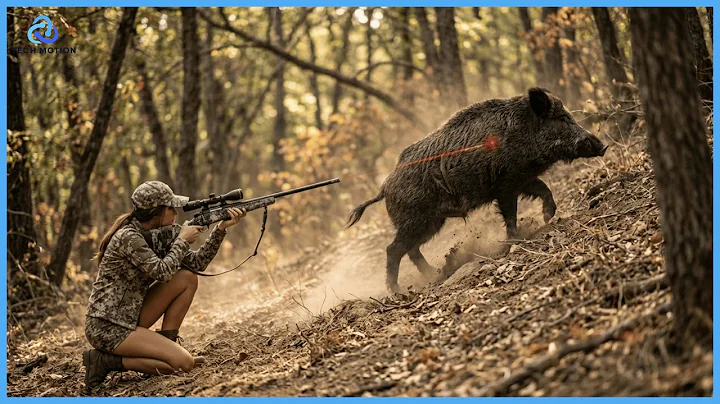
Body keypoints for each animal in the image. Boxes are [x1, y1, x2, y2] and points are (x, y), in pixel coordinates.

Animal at [346, 88, 607, 293]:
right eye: (562, 118)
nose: (602, 146)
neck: (523, 132)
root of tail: (384, 187)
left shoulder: (521, 179)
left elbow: (543, 189)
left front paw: (547, 216)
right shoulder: (506, 185)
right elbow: (511, 214)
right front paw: (514, 241)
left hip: (430, 222)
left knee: (411, 250)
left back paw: (435, 273)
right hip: (415, 220)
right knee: (393, 249)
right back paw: (397, 290)